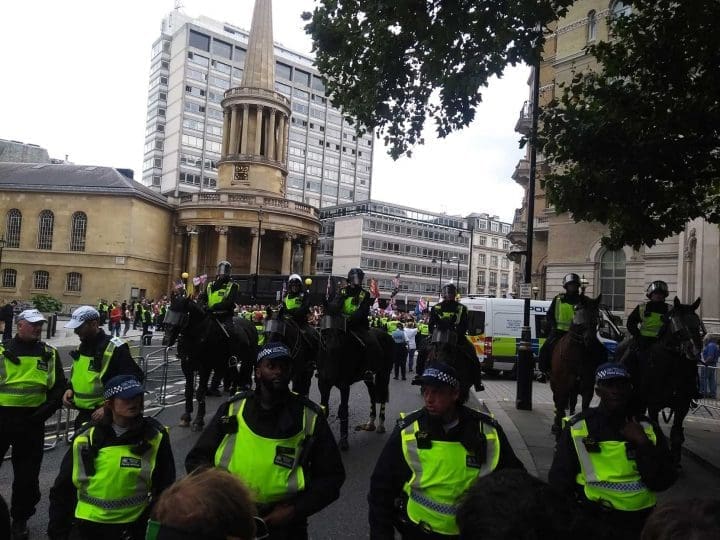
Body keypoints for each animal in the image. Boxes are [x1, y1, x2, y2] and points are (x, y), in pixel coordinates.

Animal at [162, 296, 258, 430]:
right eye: (169, 314)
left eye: (182, 317)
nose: (166, 341)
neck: (196, 335)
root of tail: (250, 324)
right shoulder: (186, 366)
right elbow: (188, 391)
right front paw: (186, 417)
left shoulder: (205, 368)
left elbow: (200, 392)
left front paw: (198, 420)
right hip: (229, 363)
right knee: (234, 377)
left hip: (247, 359)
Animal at [316, 316, 394, 452]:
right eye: (324, 334)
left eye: (341, 334)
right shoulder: (323, 384)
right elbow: (324, 409)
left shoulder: (344, 386)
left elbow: (343, 410)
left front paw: (343, 441)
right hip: (368, 378)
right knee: (372, 394)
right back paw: (370, 423)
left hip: (385, 373)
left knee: (383, 394)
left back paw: (380, 424)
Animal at [552, 296, 608, 434]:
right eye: (580, 317)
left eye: (597, 318)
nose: (590, 340)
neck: (578, 357)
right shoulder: (562, 386)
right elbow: (560, 406)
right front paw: (558, 427)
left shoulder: (587, 389)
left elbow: (584, 409)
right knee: (558, 402)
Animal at [628, 296, 704, 464]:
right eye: (677, 323)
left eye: (697, 323)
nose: (694, 349)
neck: (673, 366)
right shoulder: (653, 405)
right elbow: (656, 431)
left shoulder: (682, 406)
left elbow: (676, 434)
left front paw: (674, 458)